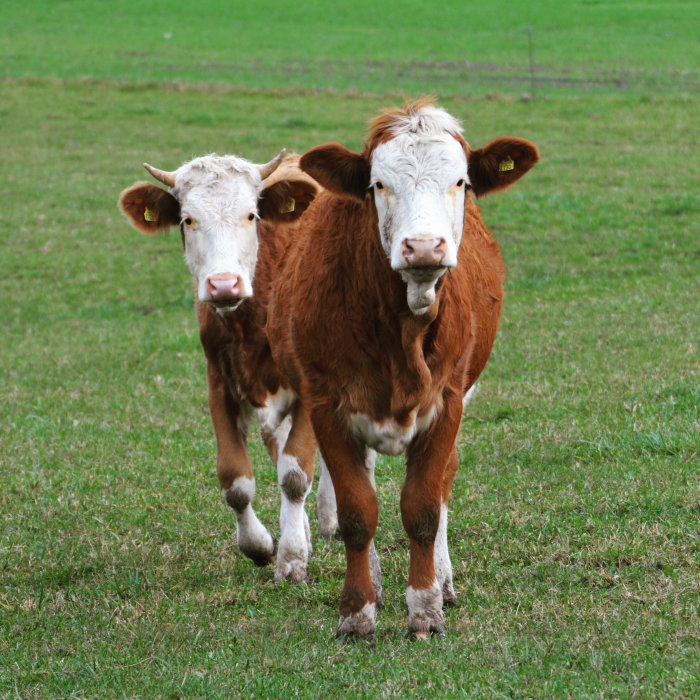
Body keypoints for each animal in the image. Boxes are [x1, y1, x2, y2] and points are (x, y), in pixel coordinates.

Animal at [118, 150, 340, 584]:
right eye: (187, 219)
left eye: (251, 215)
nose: (224, 285)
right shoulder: (219, 383)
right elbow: (235, 479)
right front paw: (262, 545)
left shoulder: (310, 384)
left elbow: (295, 475)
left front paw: (292, 560)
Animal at [266, 100, 540, 640]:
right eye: (378, 184)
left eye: (462, 182)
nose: (425, 247)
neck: (402, 334)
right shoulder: (327, 405)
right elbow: (357, 510)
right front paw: (357, 611)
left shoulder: (448, 404)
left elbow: (423, 508)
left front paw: (426, 608)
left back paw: (444, 579)